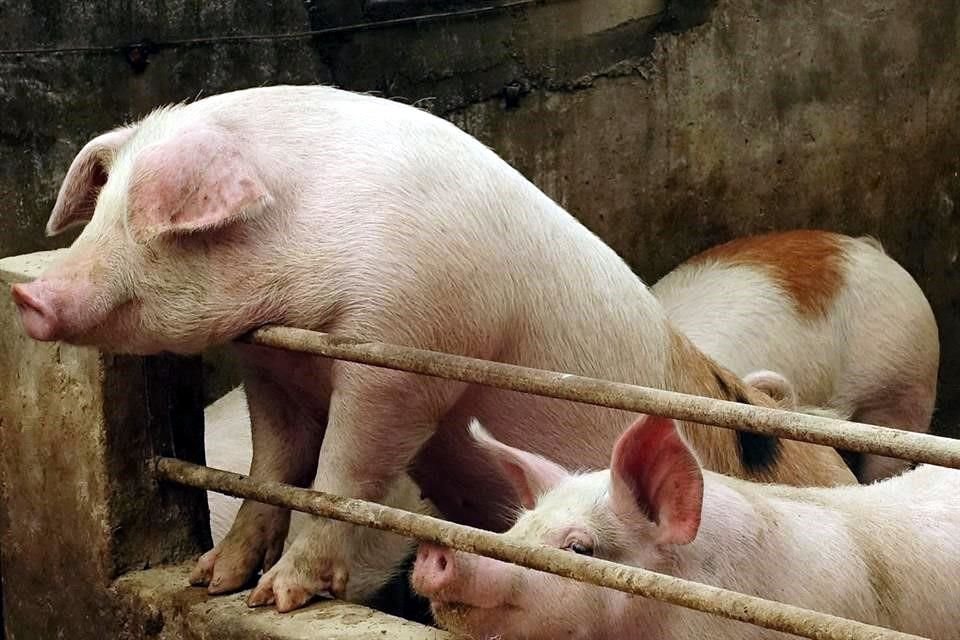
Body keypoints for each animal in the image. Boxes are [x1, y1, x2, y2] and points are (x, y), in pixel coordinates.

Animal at [11, 85, 854, 612]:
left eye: (152, 221)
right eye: (101, 209)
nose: (28, 295)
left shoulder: (405, 350)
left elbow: (342, 475)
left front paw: (276, 598)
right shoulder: (271, 367)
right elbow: (271, 471)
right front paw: (211, 582)